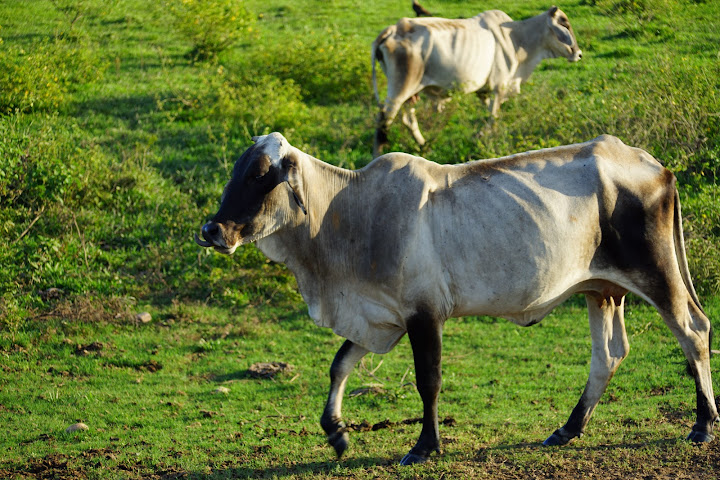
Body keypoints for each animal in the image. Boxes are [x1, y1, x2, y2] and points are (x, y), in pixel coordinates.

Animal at [195, 131, 716, 464]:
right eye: (238, 171)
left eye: (261, 175)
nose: (211, 230)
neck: (347, 214)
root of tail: (655, 165)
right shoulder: (378, 315)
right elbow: (340, 365)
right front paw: (337, 433)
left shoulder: (423, 315)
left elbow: (428, 382)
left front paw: (425, 446)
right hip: (601, 290)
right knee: (608, 354)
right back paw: (568, 428)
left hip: (656, 272)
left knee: (692, 331)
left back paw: (703, 424)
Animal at [374, 5, 584, 156]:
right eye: (565, 24)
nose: (579, 54)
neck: (517, 39)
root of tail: (393, 29)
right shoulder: (500, 86)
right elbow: (493, 116)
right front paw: (484, 136)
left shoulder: (485, 90)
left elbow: (490, 113)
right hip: (400, 89)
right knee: (383, 121)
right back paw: (378, 156)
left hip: (412, 92)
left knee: (408, 120)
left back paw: (423, 145)